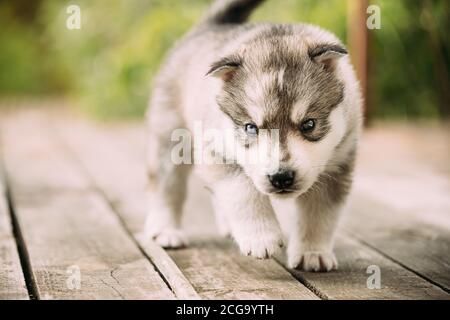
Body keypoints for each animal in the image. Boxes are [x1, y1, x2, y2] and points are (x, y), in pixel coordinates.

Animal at [144, 0, 362, 272]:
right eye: (250, 128)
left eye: (309, 124)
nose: (281, 178)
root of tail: (210, 27)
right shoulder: (218, 152)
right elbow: (243, 192)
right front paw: (261, 237)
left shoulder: (338, 162)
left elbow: (319, 213)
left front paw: (313, 252)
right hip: (171, 137)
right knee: (167, 185)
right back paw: (166, 230)